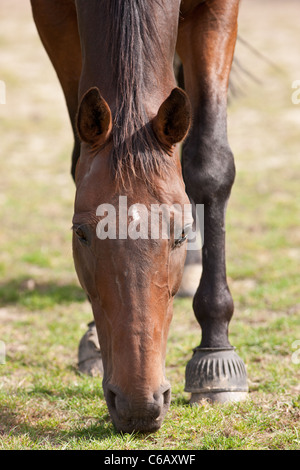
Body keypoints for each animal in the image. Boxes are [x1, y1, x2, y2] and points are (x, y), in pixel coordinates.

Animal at [30, 0, 247, 434]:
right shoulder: (53, 17)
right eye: (81, 233)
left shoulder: (219, 11)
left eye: (181, 233)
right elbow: (79, 158)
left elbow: (209, 165)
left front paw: (216, 353)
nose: (139, 406)